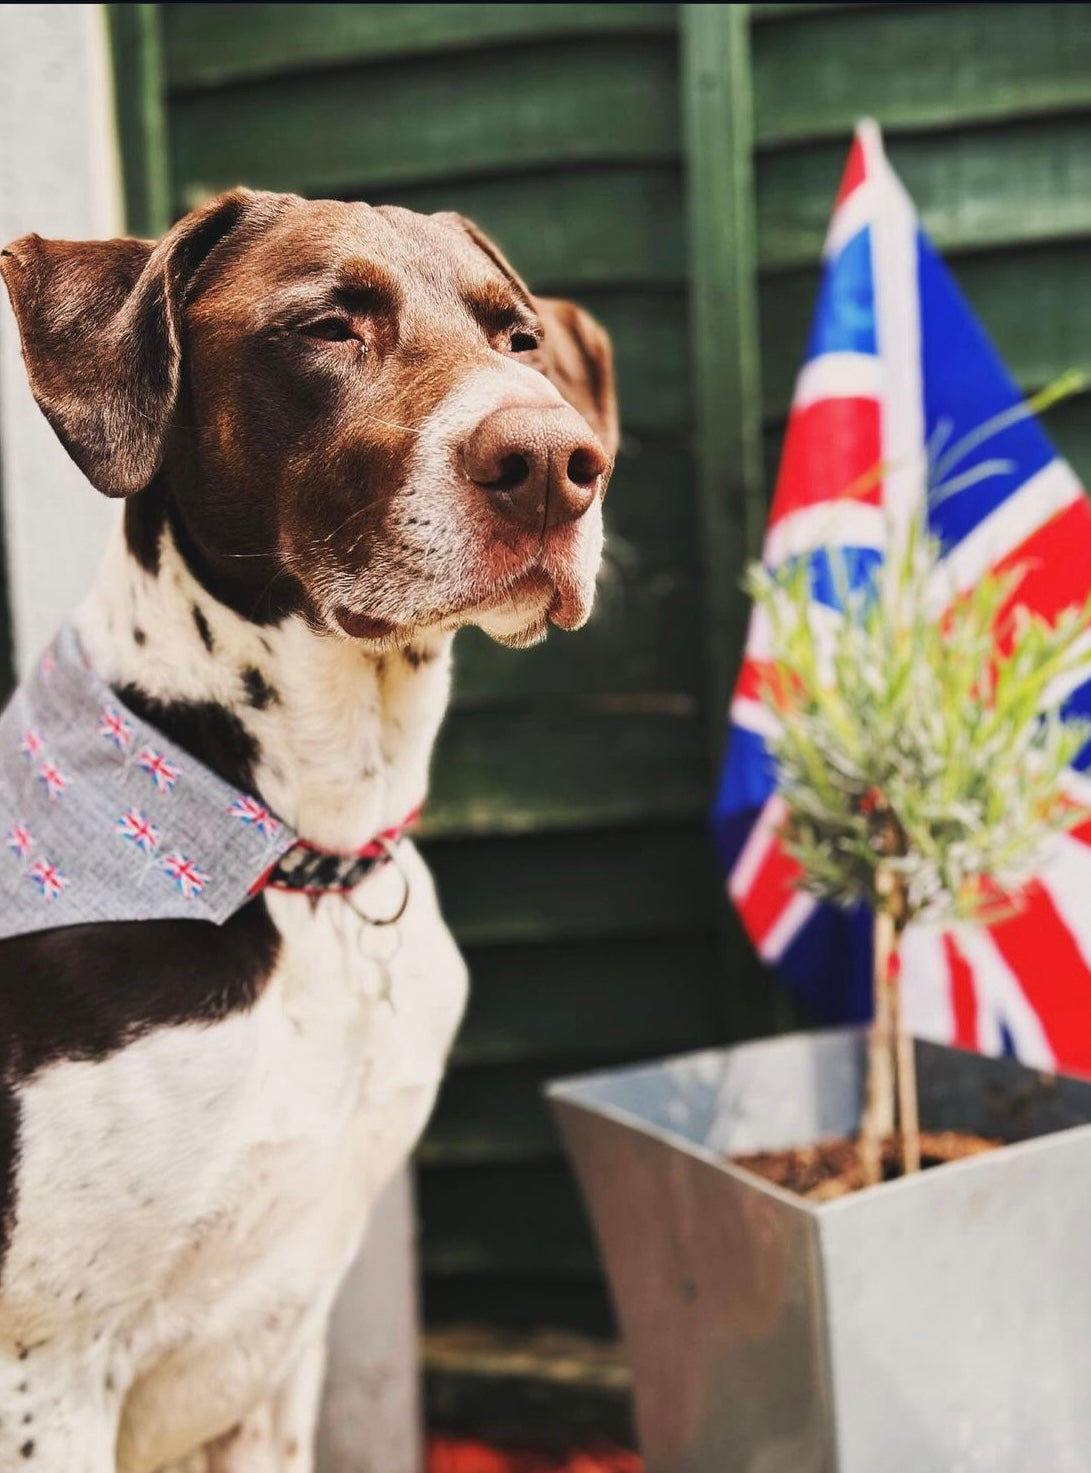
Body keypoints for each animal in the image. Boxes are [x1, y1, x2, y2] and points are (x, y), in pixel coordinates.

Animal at [0, 190, 612, 1467]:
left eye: (519, 339)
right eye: (327, 326)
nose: (554, 463)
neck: (307, 857)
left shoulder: (282, 1339)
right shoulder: (49, 1371)